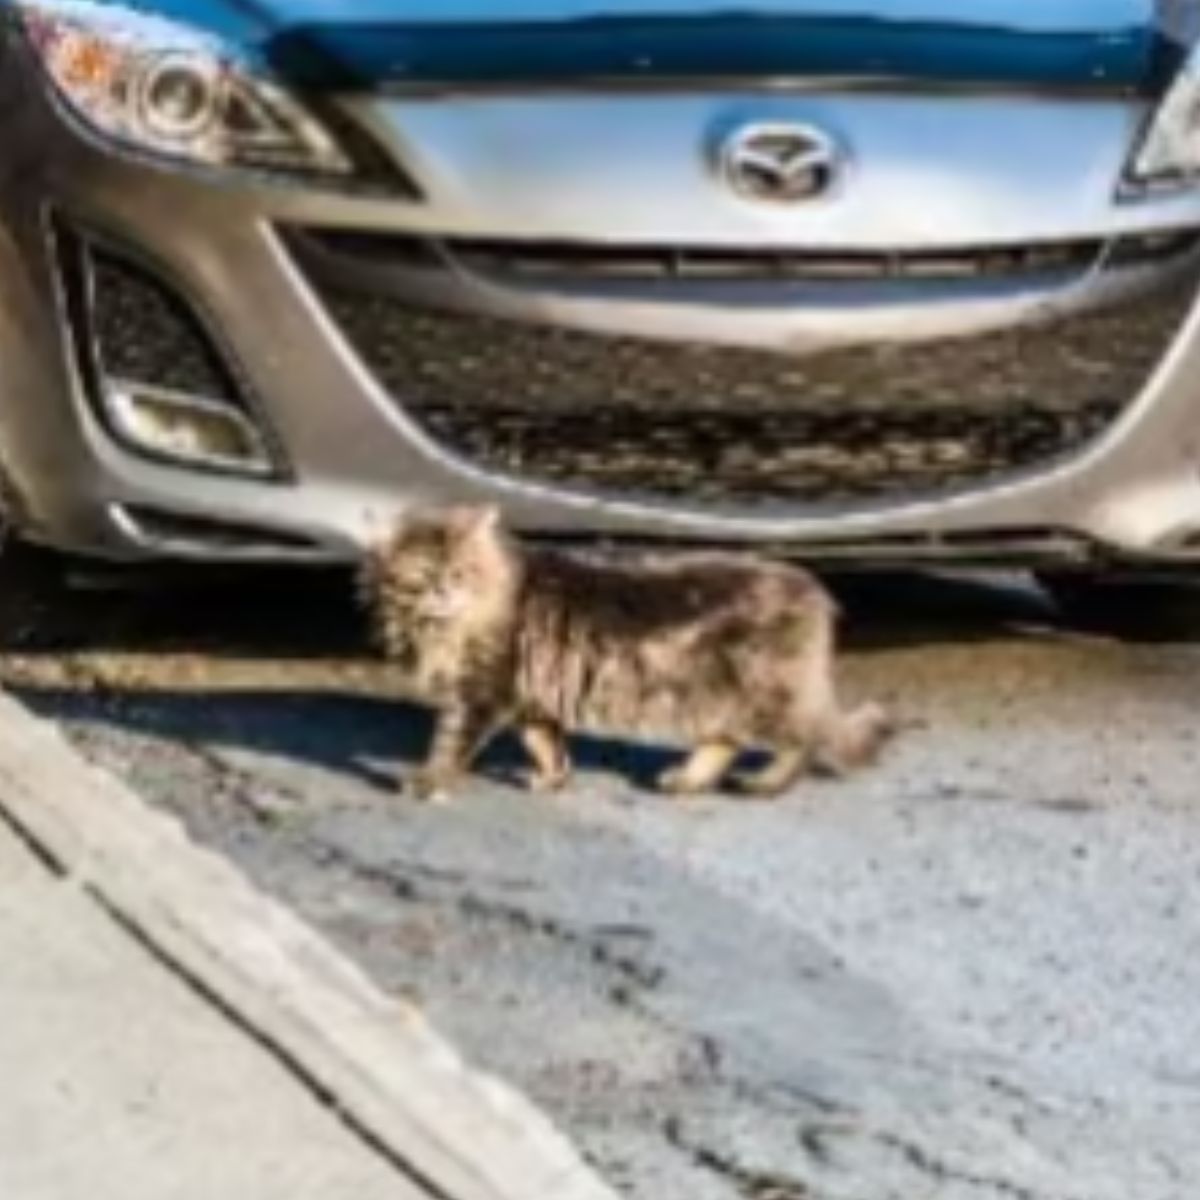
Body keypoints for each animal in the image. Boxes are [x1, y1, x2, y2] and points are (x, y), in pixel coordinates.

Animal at [360, 501, 897, 801]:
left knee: (804, 740)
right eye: (425, 574)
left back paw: (763, 786)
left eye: (460, 572)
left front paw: (428, 784)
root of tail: (814, 590)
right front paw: (554, 781)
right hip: (713, 699)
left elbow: (449, 745)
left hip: (763, 696)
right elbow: (546, 745)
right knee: (726, 741)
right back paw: (685, 781)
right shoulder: (528, 698)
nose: (445, 592)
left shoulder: (481, 693)